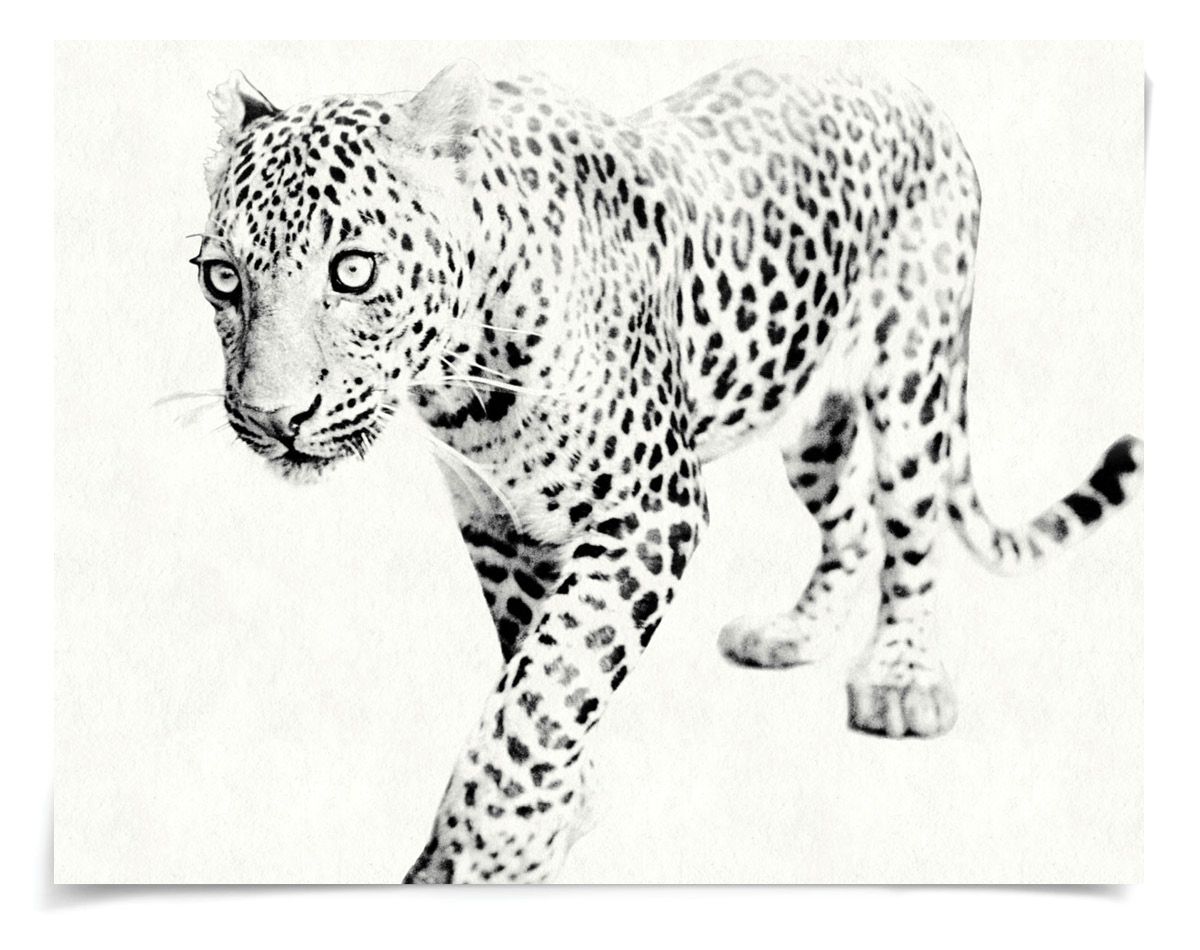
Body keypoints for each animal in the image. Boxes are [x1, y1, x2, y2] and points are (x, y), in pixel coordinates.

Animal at [193, 59, 1143, 883]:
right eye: (222, 278)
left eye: (355, 269)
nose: (273, 418)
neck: (461, 380)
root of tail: (902, 84)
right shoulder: (497, 523)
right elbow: (529, 662)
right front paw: (555, 810)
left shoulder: (650, 511)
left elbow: (545, 689)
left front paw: (483, 853)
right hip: (803, 417)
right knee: (848, 521)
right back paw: (792, 633)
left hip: (914, 376)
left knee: (910, 537)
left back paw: (900, 681)